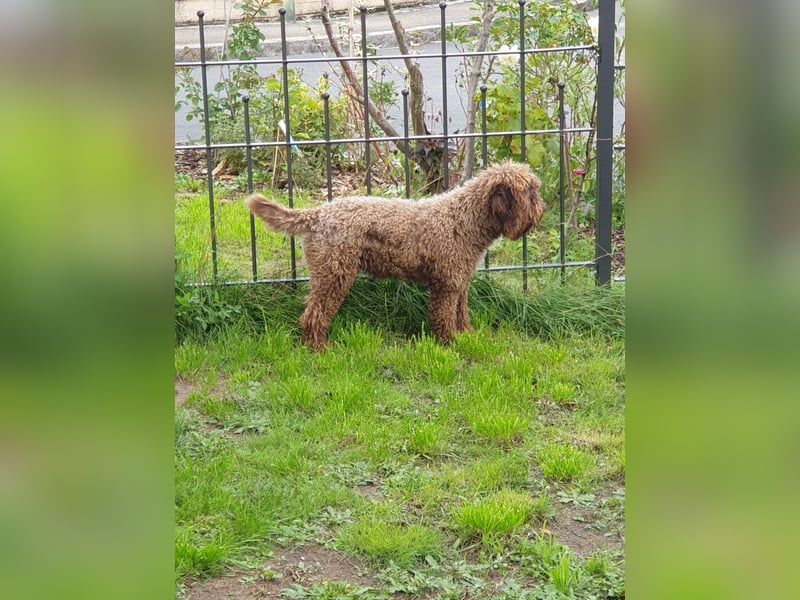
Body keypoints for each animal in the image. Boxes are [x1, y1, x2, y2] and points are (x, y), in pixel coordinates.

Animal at [244, 162, 544, 350]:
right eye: (530, 193)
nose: (542, 210)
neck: (464, 218)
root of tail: (318, 214)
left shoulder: (460, 282)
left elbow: (461, 313)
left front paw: (467, 335)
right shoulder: (447, 285)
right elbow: (444, 316)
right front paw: (450, 343)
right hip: (334, 274)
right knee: (313, 314)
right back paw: (319, 346)